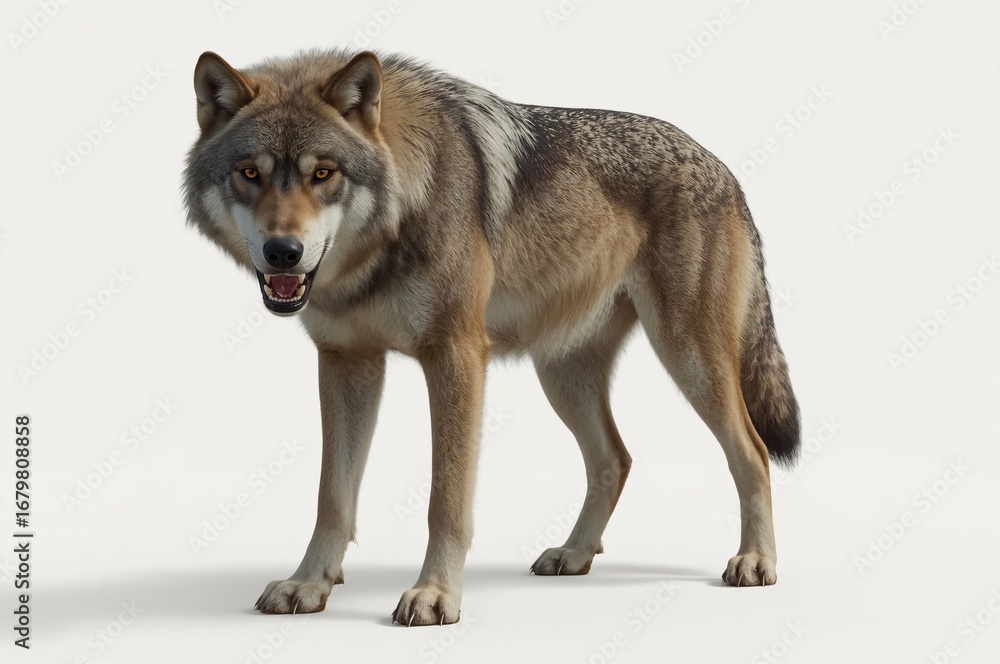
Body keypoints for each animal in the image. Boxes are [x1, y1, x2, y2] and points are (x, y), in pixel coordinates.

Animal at [183, 48, 800, 626]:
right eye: (250, 173)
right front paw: (309, 584)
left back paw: (756, 562)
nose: (282, 252)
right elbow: (331, 496)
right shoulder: (346, 361)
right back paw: (575, 554)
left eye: (322, 173)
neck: (395, 223)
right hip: (563, 377)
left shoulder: (455, 356)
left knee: (752, 452)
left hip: (689, 360)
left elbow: (446, 500)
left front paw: (435, 595)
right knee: (615, 458)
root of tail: (723, 167)